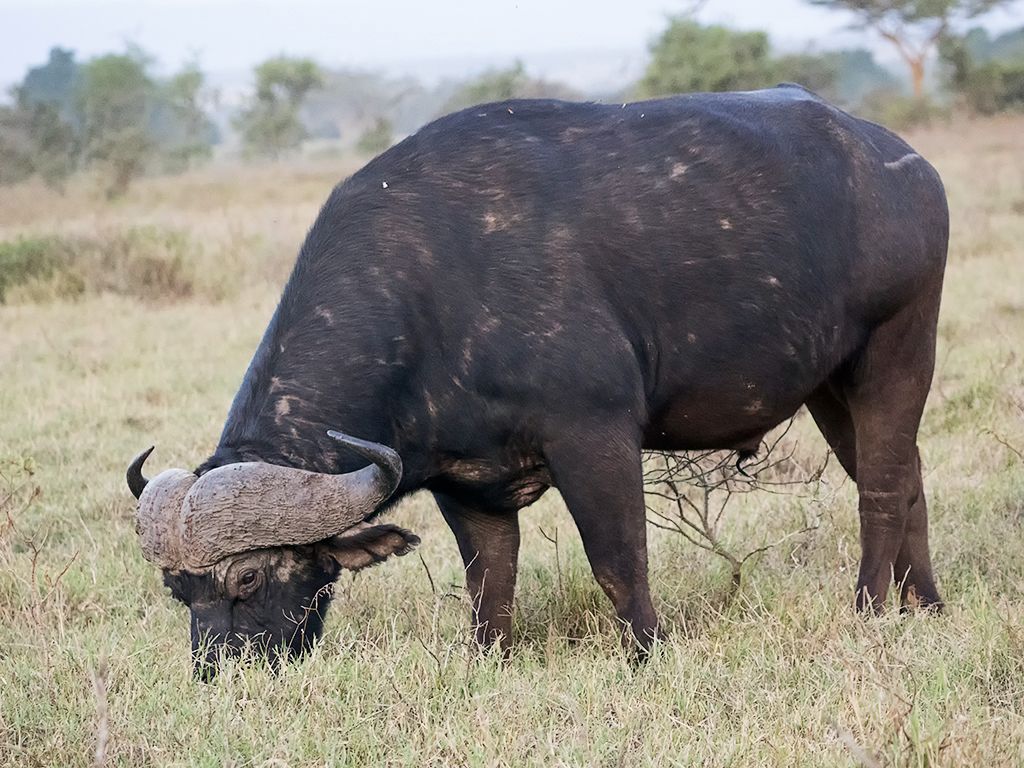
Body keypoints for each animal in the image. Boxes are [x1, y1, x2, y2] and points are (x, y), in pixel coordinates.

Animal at [128, 84, 948, 675]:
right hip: (827, 385)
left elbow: (618, 561)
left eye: (247, 581)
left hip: (898, 348)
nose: (219, 676)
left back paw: (870, 608)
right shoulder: (465, 484)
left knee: (881, 484)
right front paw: (487, 662)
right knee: (906, 474)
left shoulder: (595, 436)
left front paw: (647, 656)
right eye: (178, 590)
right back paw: (928, 604)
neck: (433, 287)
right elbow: (489, 584)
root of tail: (901, 161)